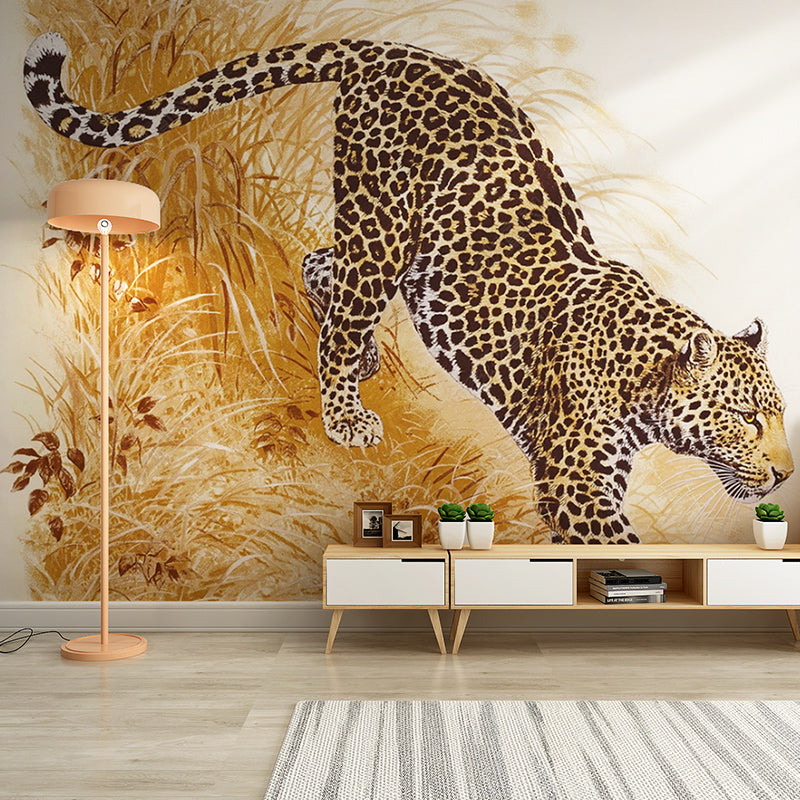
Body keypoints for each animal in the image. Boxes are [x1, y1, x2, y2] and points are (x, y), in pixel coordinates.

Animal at [23, 32, 794, 543]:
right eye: (748, 418)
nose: (786, 478)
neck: (643, 372)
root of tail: (390, 52)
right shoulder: (578, 481)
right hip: (381, 226)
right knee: (337, 304)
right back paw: (346, 412)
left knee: (321, 264)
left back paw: (361, 354)